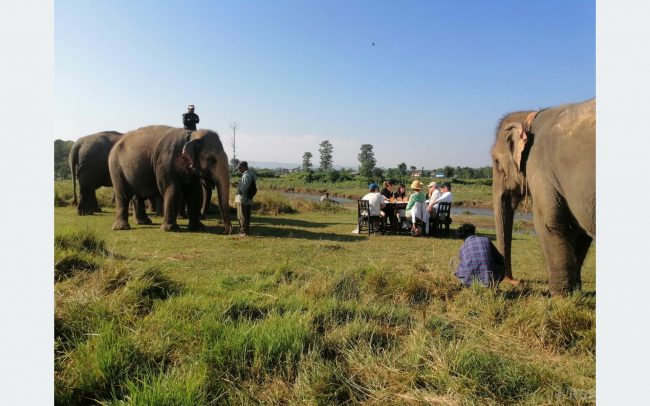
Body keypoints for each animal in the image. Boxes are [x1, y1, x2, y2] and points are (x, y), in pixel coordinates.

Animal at [488, 98, 596, 294]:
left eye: (497, 162)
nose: (515, 281)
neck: (530, 117)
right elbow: (579, 229)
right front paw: (575, 292)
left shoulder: (540, 166)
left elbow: (548, 222)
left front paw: (559, 296)